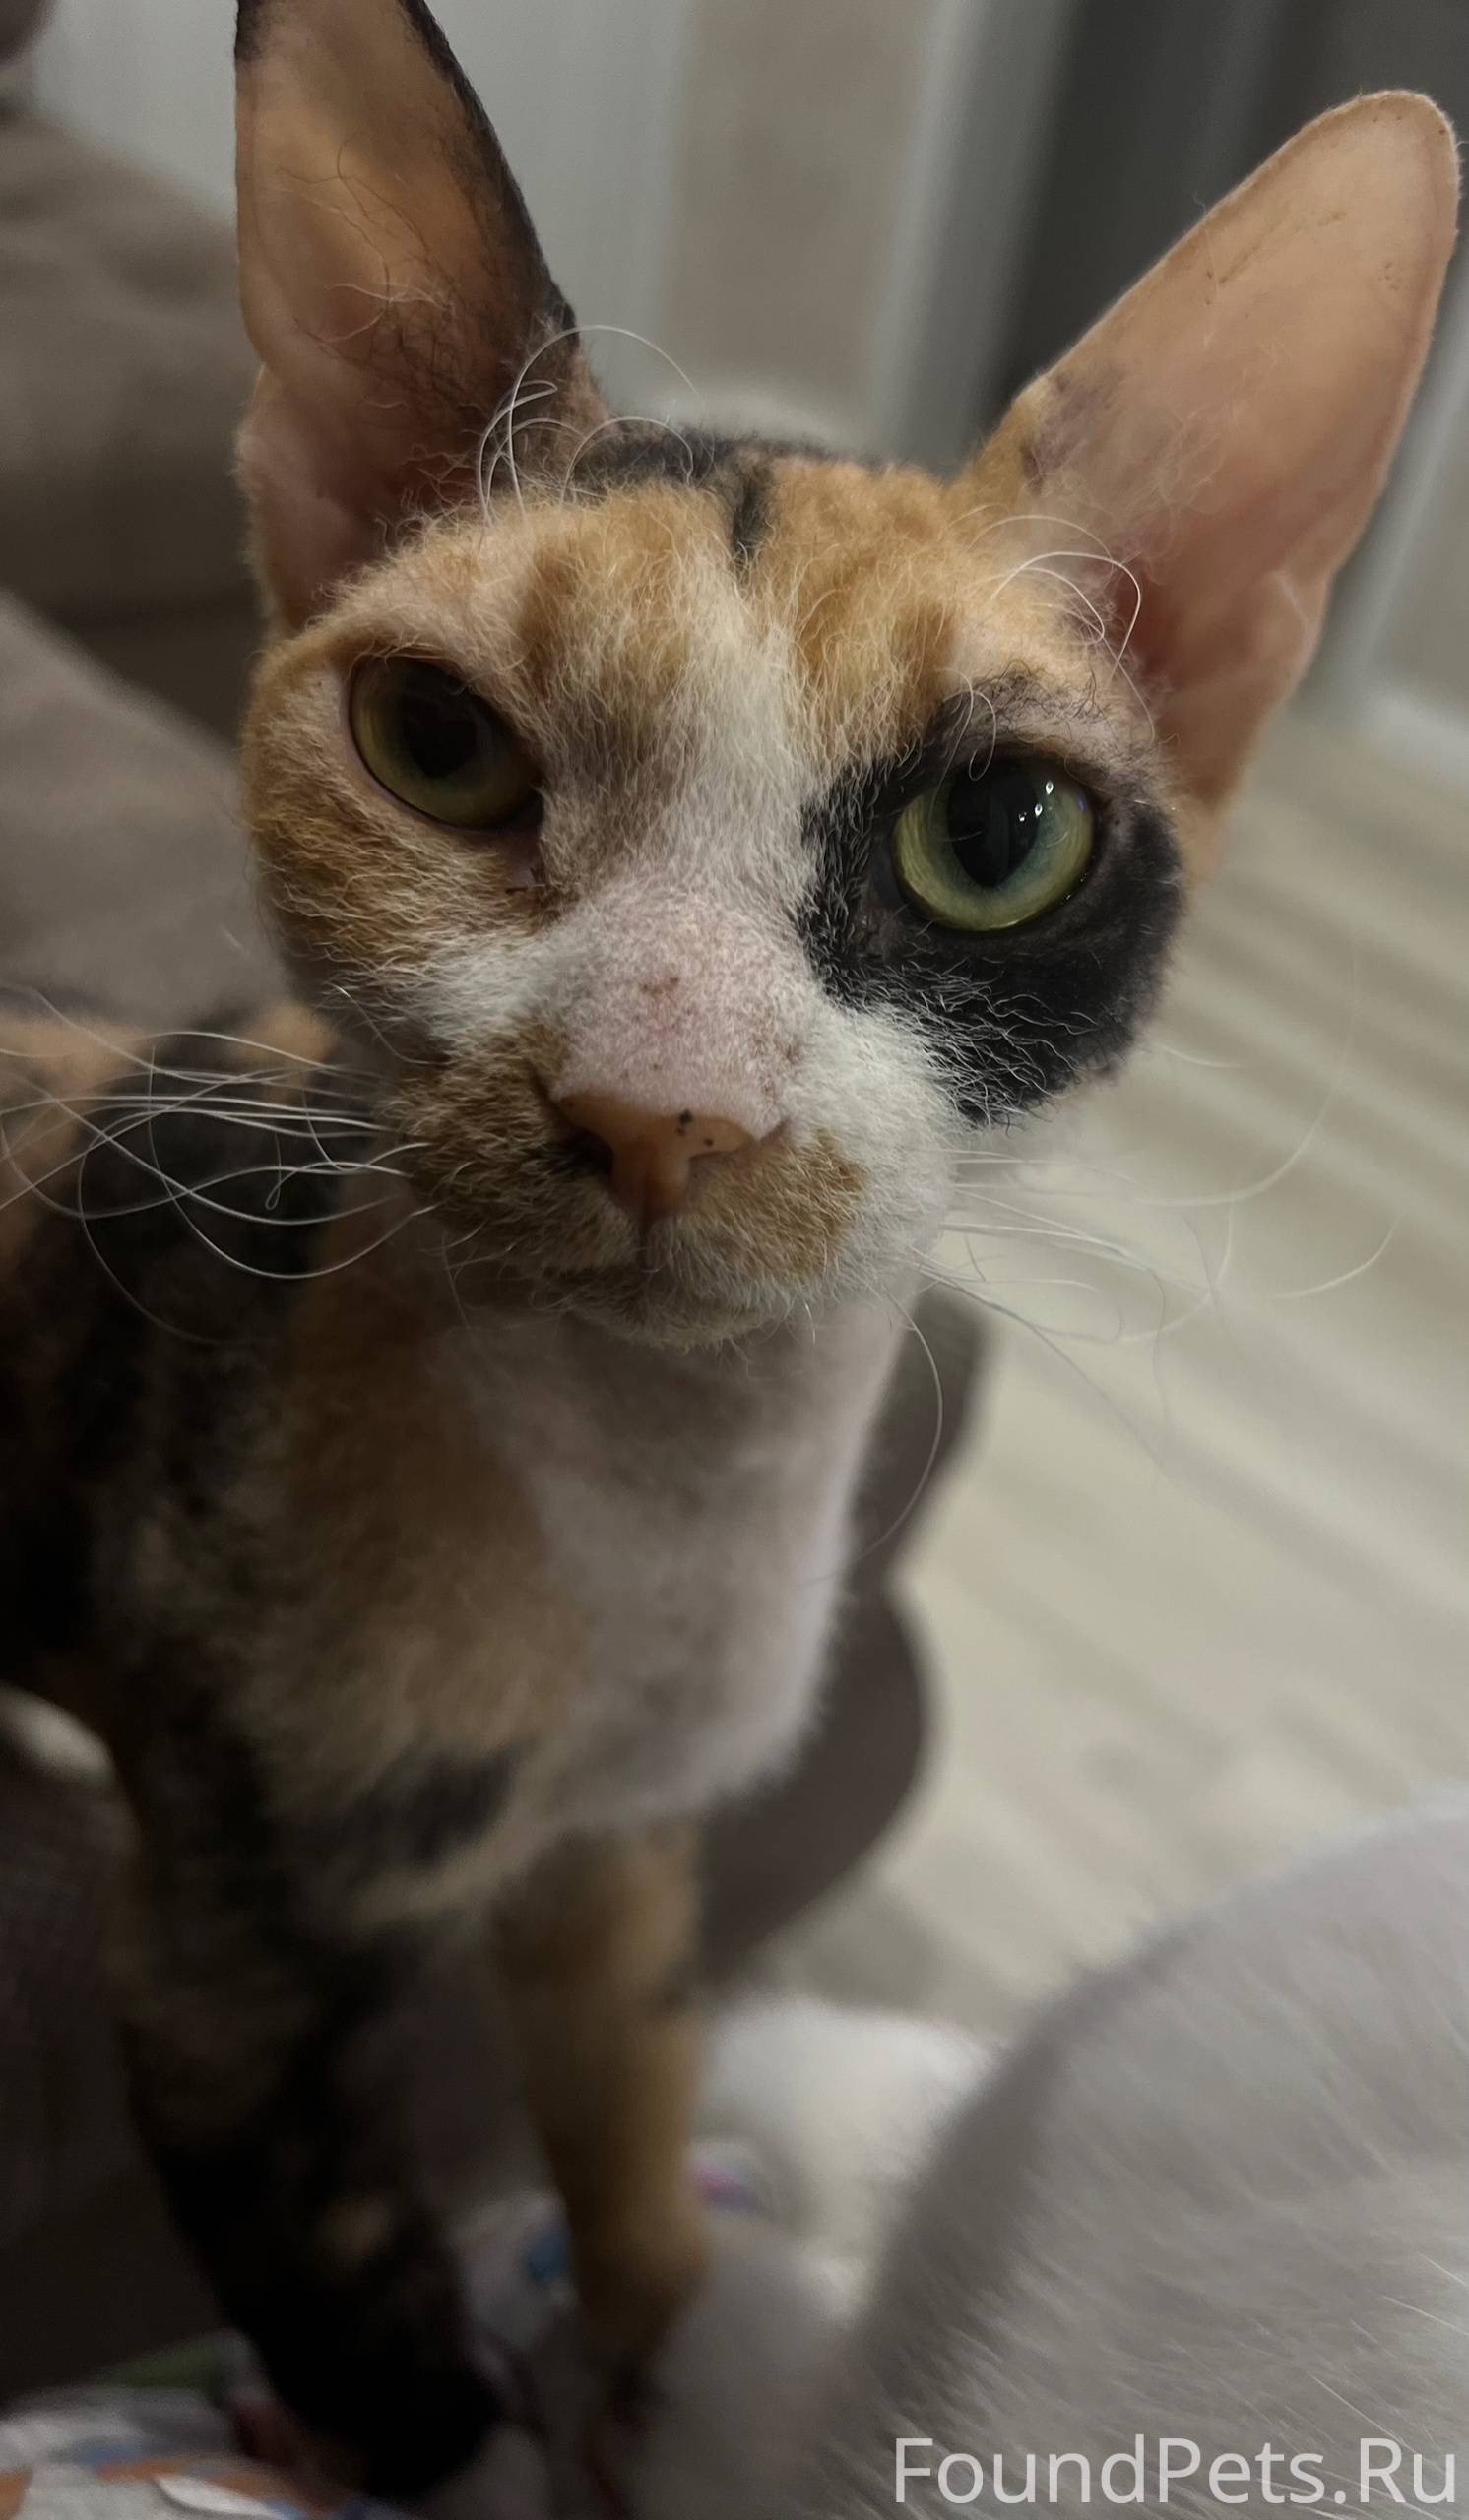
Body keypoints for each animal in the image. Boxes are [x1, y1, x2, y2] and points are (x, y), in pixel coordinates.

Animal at [0, 0, 1454, 2493]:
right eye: (435, 741)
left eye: (999, 832)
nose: (655, 1097)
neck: (654, 1515)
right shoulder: (229, 1998)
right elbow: (397, 2365)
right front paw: (508, 2437)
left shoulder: (630, 1864)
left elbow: (634, 2122)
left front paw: (664, 2333)